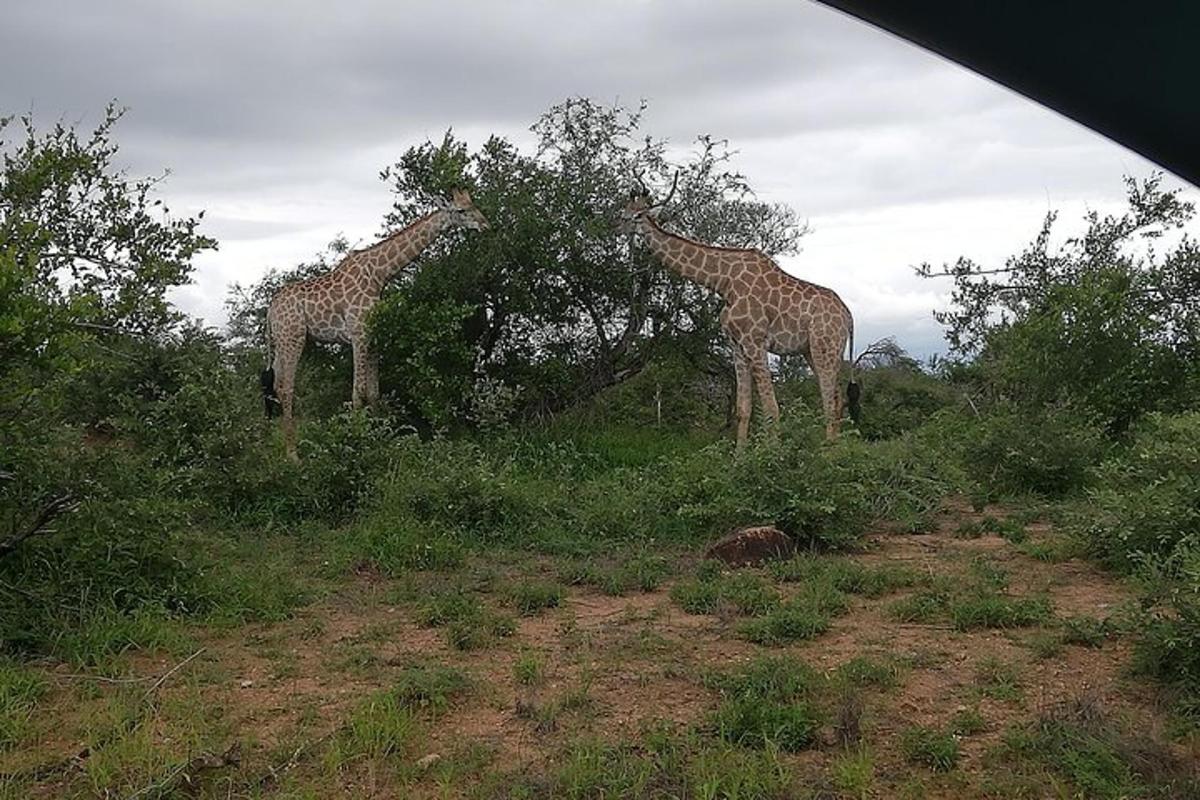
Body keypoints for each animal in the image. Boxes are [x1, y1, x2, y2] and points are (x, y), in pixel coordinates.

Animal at [262, 188, 487, 460]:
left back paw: (270, 444)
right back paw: (292, 455)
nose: (486, 225)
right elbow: (358, 392)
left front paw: (380, 442)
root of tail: (270, 309)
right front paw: (354, 443)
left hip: (281, 340)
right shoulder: (358, 334)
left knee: (274, 385)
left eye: (474, 204)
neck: (380, 274)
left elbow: (373, 394)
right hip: (293, 337)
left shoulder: (373, 335)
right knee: (286, 387)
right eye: (462, 210)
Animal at [619, 190, 854, 448]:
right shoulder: (737, 346)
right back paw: (835, 449)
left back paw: (829, 453)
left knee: (830, 402)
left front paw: (773, 455)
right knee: (838, 399)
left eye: (637, 216)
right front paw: (740, 456)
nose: (617, 226)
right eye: (624, 210)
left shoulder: (755, 342)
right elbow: (743, 409)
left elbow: (771, 409)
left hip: (825, 348)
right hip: (812, 351)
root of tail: (848, 316)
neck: (724, 282)